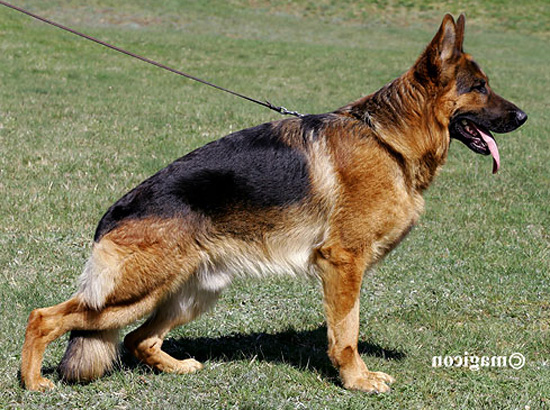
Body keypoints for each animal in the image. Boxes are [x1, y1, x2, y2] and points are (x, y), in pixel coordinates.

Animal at [21, 13, 527, 393]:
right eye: (479, 86)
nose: (524, 116)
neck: (389, 140)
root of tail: (113, 214)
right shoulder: (343, 263)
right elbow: (347, 333)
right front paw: (356, 380)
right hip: (132, 293)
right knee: (44, 317)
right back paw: (32, 382)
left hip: (191, 293)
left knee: (137, 340)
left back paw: (177, 367)